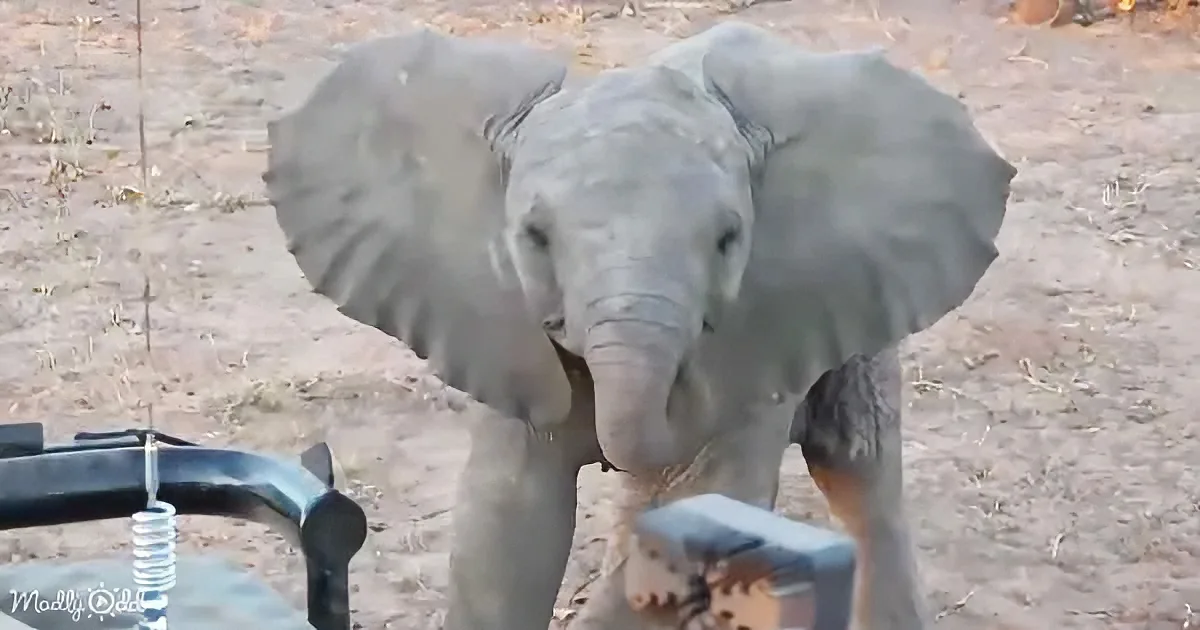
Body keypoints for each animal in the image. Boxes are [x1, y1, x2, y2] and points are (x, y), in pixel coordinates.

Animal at [263, 20, 1014, 630]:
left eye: (727, 240)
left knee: (856, 467)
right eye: (534, 237)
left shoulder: (769, 327)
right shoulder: (502, 324)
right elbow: (506, 519)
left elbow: (701, 498)